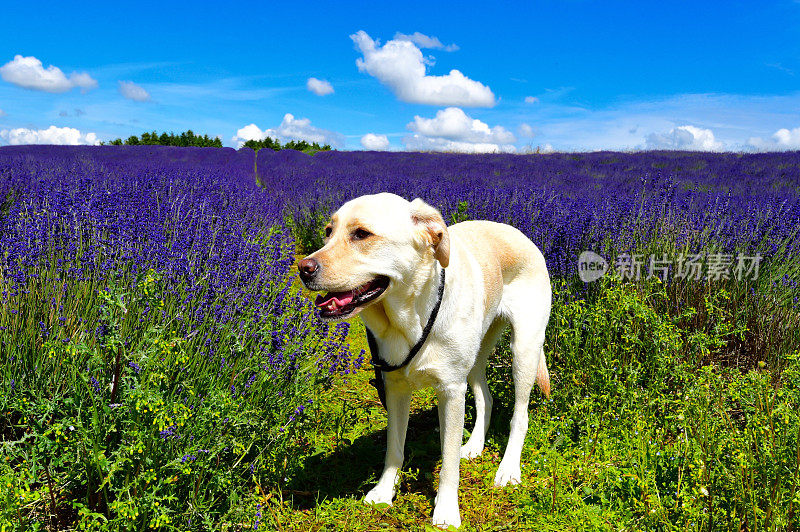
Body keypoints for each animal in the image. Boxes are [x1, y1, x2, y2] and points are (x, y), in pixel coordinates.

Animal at [296, 193, 552, 528]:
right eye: (328, 232)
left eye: (361, 234)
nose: (303, 268)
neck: (411, 317)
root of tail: (516, 232)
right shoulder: (394, 387)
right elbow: (394, 447)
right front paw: (384, 491)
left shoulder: (451, 391)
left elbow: (448, 462)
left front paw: (446, 510)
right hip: (477, 354)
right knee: (486, 397)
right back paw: (475, 445)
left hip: (524, 349)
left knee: (519, 416)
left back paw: (508, 469)